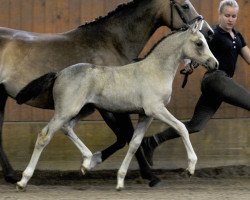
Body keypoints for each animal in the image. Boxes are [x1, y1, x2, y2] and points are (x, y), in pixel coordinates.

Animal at [0, 0, 213, 185]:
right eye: (185, 5)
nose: (210, 32)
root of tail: (59, 73)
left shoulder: (129, 111)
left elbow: (128, 140)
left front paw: (93, 164)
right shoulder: (136, 109)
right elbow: (134, 135)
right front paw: (154, 175)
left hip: (78, 108)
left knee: (64, 128)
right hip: (66, 110)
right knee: (45, 134)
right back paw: (21, 179)